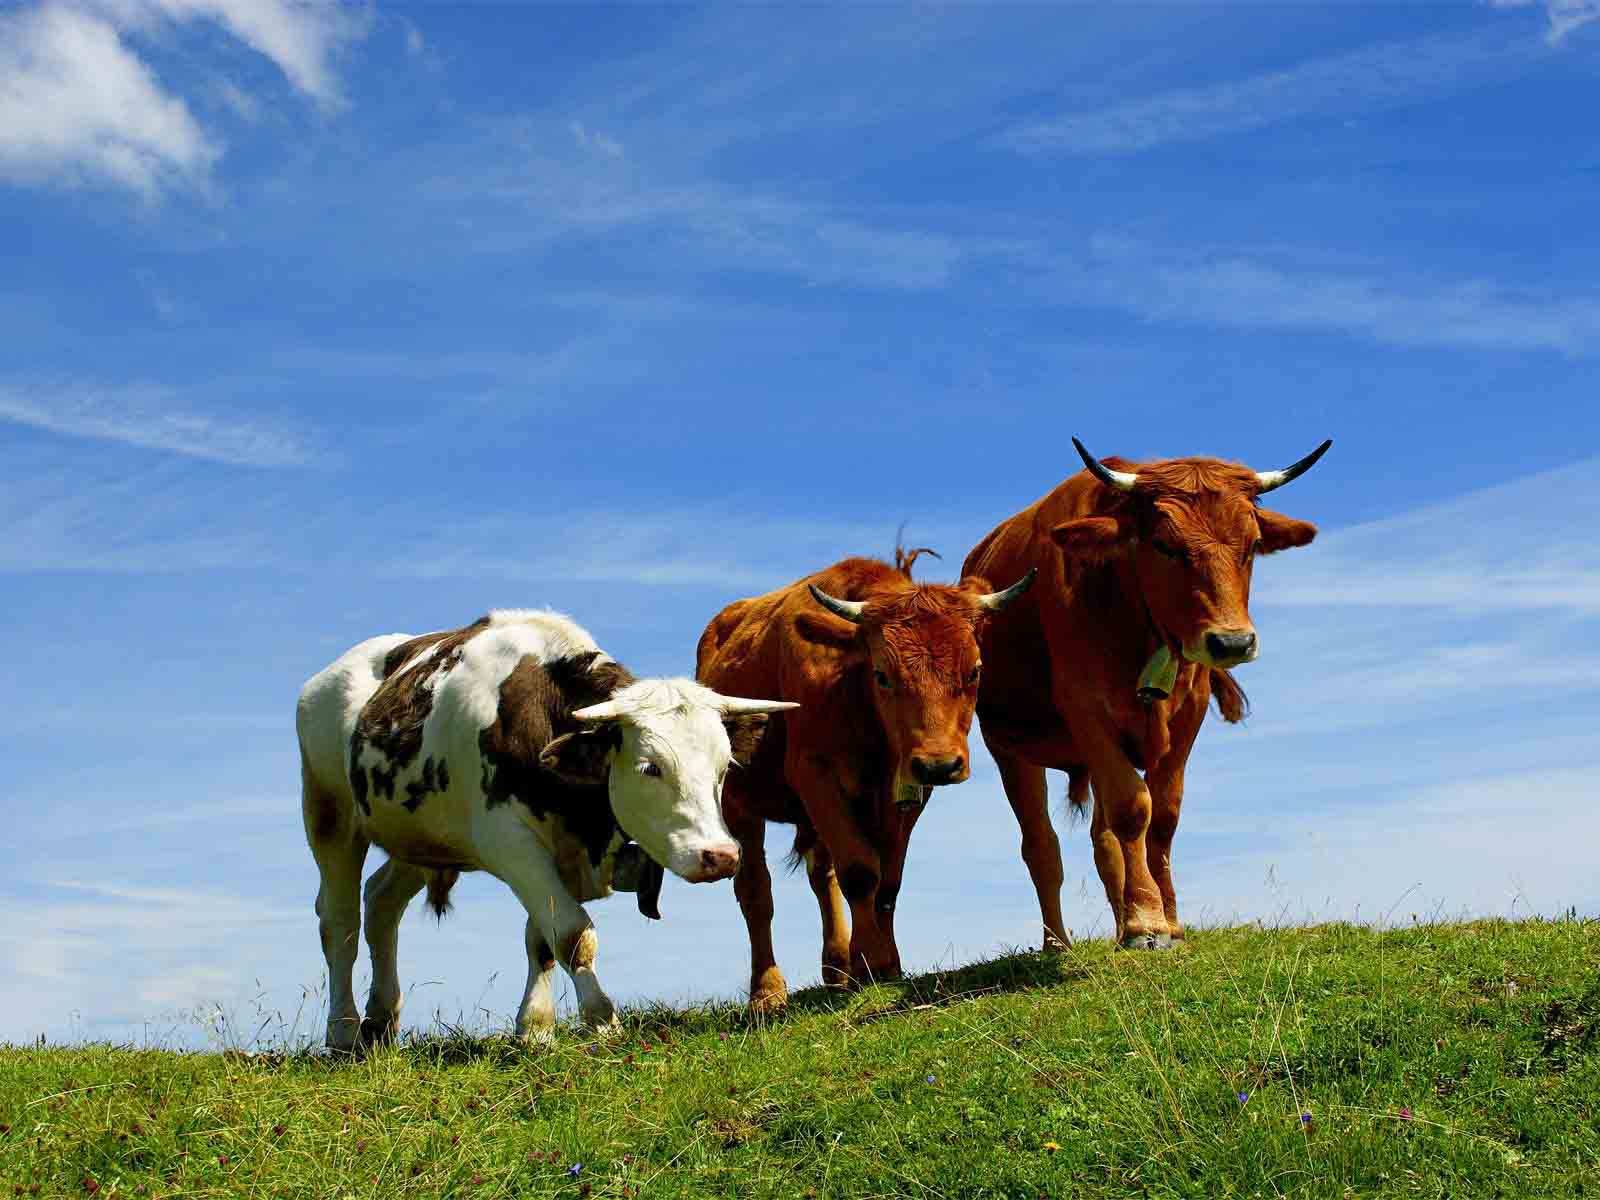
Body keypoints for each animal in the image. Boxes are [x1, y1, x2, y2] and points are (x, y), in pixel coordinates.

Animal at [296, 608, 796, 1049]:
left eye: (724, 766)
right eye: (650, 767)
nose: (721, 856)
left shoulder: (560, 854)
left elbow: (542, 939)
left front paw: (535, 1028)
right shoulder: (510, 844)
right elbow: (573, 933)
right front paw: (601, 1020)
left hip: (421, 838)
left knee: (381, 904)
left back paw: (380, 1021)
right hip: (329, 813)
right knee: (339, 922)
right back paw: (343, 1031)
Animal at [695, 549, 1036, 1011]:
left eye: (975, 671)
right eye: (882, 675)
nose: (939, 764)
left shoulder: (907, 793)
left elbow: (887, 880)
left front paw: (880, 963)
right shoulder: (815, 773)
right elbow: (860, 871)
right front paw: (871, 960)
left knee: (822, 878)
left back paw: (837, 966)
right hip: (739, 804)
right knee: (756, 894)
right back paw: (767, 990)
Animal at [961, 438, 1330, 951]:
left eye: (1253, 544)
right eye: (1165, 545)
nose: (1233, 642)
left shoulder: (1189, 714)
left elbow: (1163, 817)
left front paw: (1167, 921)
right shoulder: (1086, 710)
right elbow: (1133, 809)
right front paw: (1146, 924)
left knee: (1104, 842)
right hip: (1010, 749)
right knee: (1041, 846)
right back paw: (1058, 942)